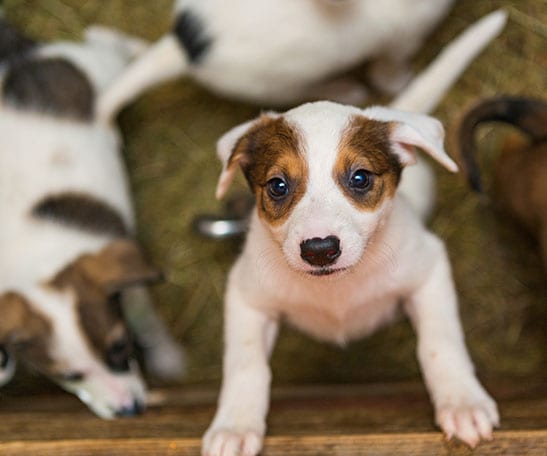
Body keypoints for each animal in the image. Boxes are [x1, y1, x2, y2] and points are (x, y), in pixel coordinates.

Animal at [0, 19, 184, 418]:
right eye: (69, 376)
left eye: (120, 348)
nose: (129, 410)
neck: (39, 261)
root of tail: (20, 58)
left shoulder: (129, 280)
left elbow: (146, 319)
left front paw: (168, 356)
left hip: (100, 66)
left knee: (102, 37)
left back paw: (138, 49)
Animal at [97, 0, 454, 119]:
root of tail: (184, 47)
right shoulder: (402, 38)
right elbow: (388, 72)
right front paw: (401, 81)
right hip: (280, 85)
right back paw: (347, 89)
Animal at [203, 10, 508, 456]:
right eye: (277, 186)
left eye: (360, 178)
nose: (319, 249)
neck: (337, 291)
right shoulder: (246, 294)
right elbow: (246, 363)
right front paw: (235, 424)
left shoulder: (429, 268)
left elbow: (440, 341)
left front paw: (462, 401)